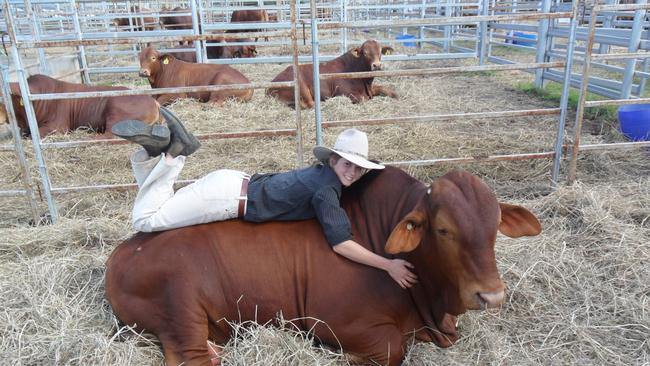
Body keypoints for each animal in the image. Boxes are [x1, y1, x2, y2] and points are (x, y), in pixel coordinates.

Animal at [105, 169, 540, 366]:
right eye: (444, 229)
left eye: (494, 226)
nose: (491, 294)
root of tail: (122, 252)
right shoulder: (334, 321)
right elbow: (391, 348)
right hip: (180, 302)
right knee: (191, 356)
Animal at [266, 40, 398, 109]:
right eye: (365, 53)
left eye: (380, 51)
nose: (377, 65)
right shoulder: (346, 92)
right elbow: (363, 99)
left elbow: (388, 90)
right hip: (302, 88)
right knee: (310, 104)